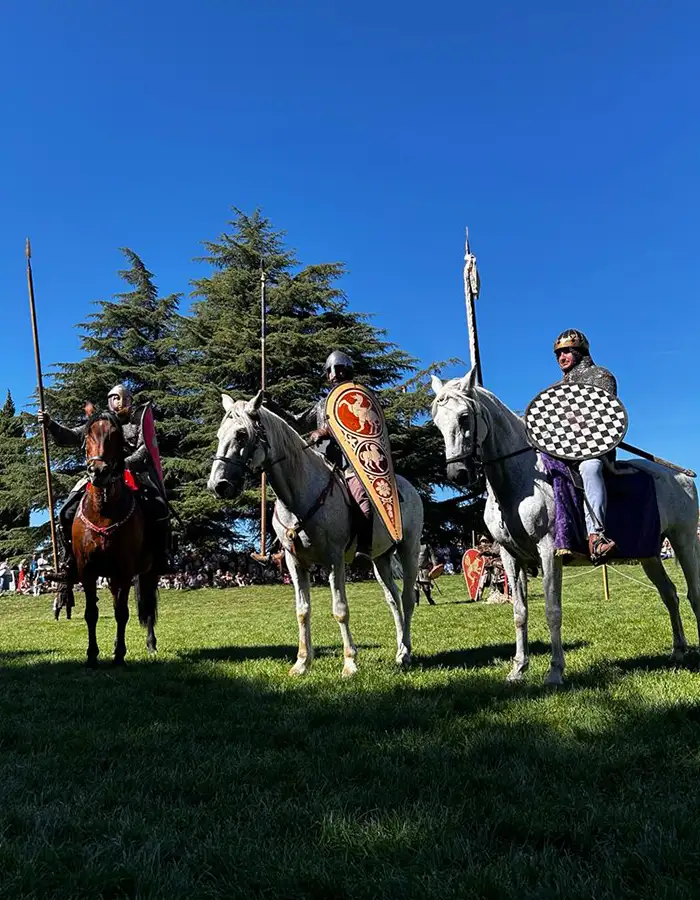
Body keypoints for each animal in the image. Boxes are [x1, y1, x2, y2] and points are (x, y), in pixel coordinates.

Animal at [74, 412, 159, 664]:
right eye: (88, 435)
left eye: (114, 436)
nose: (98, 471)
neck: (102, 511)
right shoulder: (87, 569)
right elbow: (91, 613)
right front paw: (92, 655)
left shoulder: (125, 569)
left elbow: (122, 613)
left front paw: (120, 655)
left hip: (147, 571)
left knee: (147, 604)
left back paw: (151, 644)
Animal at [208, 390, 424, 680]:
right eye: (220, 434)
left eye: (242, 434)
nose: (218, 486)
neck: (298, 496)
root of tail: (407, 487)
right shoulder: (295, 562)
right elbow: (302, 611)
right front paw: (302, 663)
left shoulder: (335, 559)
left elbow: (340, 610)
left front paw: (349, 662)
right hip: (380, 559)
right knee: (393, 599)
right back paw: (400, 650)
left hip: (409, 549)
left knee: (408, 598)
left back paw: (407, 652)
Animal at [432, 370, 700, 684]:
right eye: (437, 421)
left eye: (464, 417)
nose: (457, 474)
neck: (519, 483)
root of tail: (679, 476)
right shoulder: (511, 557)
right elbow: (519, 612)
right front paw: (518, 668)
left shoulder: (549, 551)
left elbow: (552, 610)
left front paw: (555, 671)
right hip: (650, 554)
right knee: (669, 594)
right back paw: (678, 650)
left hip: (684, 540)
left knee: (693, 593)